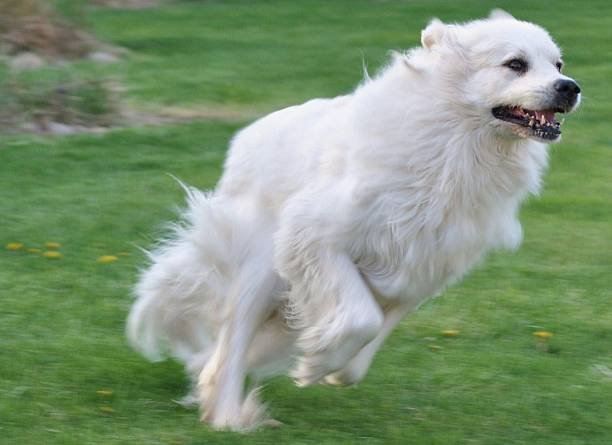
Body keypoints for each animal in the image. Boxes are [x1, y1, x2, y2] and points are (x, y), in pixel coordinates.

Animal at [125, 9, 580, 430]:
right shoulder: (315, 237)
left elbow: (370, 341)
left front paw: (332, 365)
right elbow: (362, 319)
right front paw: (316, 362)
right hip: (260, 268)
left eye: (558, 64)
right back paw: (229, 416)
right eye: (515, 64)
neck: (454, 143)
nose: (570, 87)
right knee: (231, 346)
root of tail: (244, 141)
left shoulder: (420, 270)